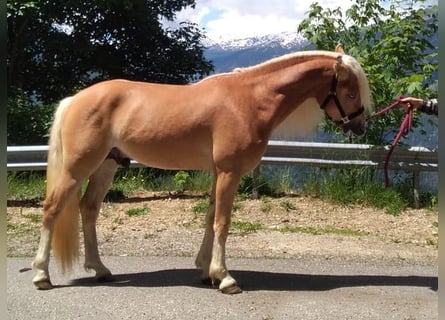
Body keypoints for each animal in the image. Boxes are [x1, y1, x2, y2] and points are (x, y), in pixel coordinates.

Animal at [30, 43, 372, 294]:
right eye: (350, 91)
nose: (359, 126)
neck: (249, 100)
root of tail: (74, 99)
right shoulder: (229, 172)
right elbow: (222, 221)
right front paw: (226, 278)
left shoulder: (219, 173)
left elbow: (209, 219)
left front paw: (207, 271)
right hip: (77, 168)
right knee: (52, 210)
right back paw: (41, 276)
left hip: (106, 166)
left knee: (88, 210)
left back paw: (100, 270)